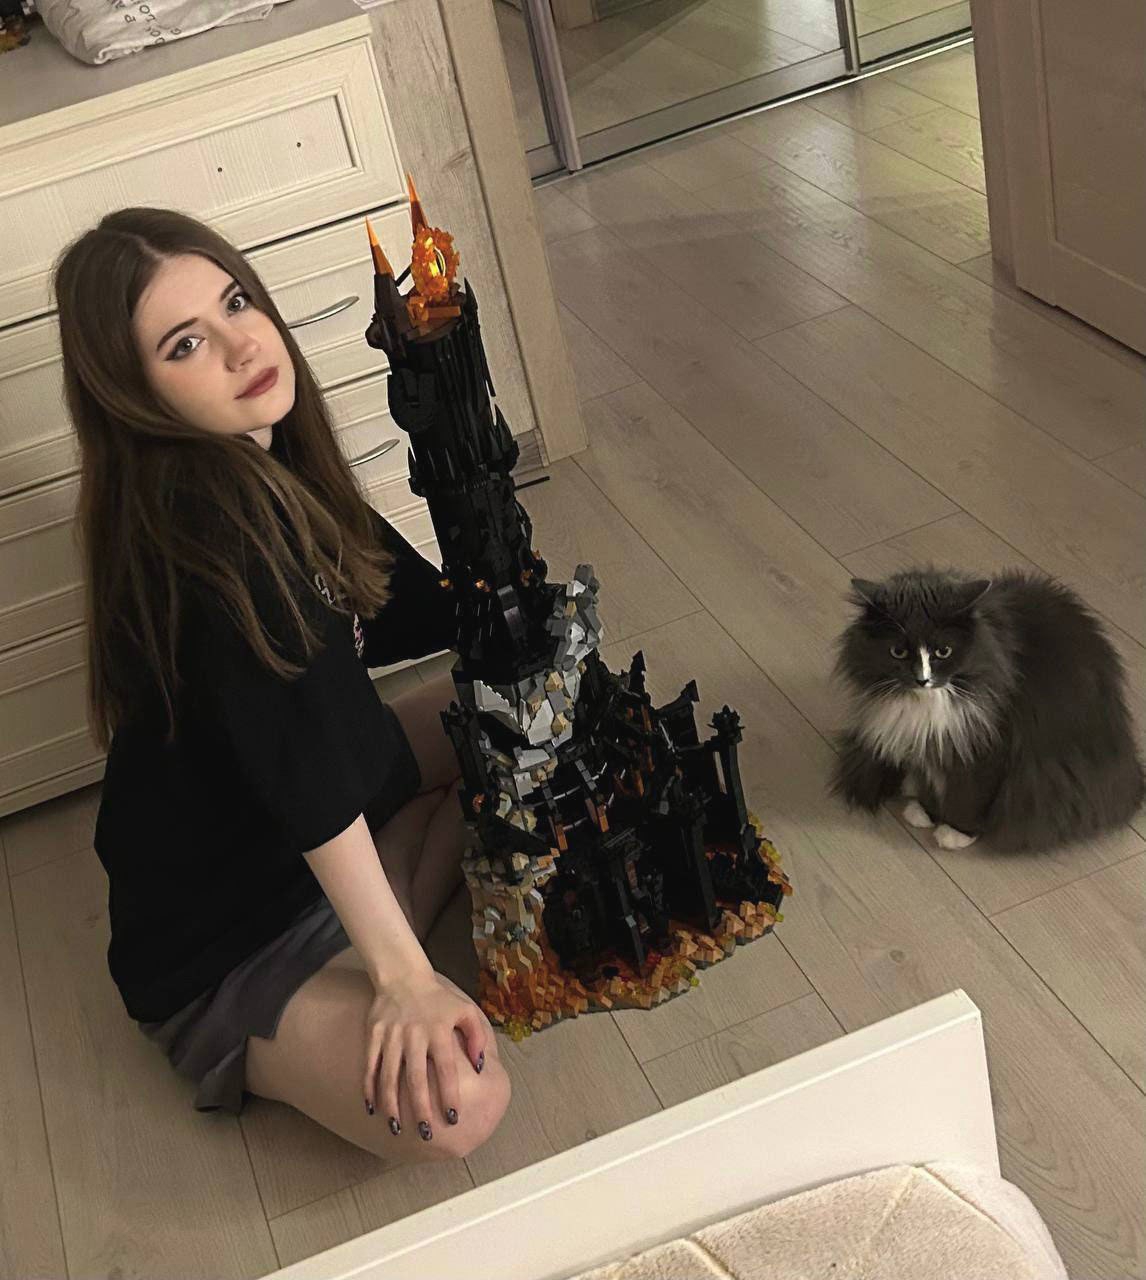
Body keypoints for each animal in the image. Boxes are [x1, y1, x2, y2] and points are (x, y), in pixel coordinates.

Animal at [829, 567, 1144, 852]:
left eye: (943, 651)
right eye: (898, 652)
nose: (922, 679)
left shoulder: (985, 744)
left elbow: (968, 795)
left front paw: (956, 833)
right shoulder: (930, 742)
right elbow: (932, 782)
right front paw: (925, 812)